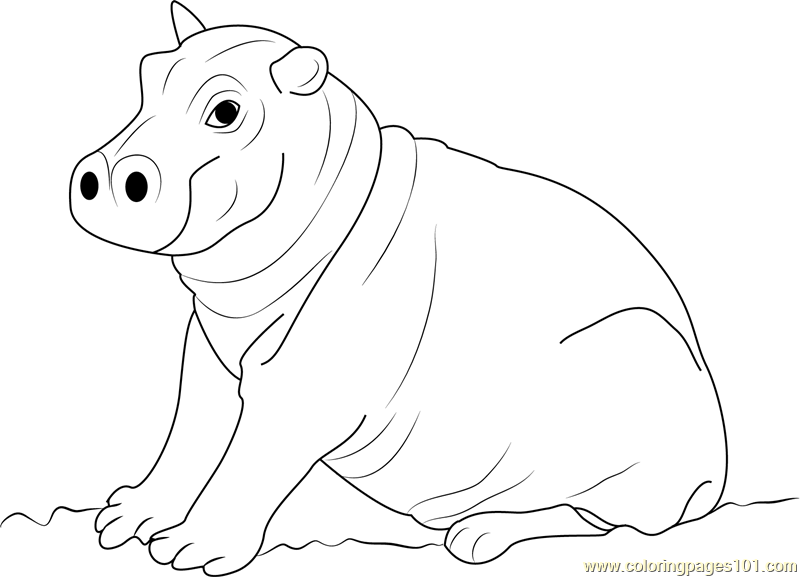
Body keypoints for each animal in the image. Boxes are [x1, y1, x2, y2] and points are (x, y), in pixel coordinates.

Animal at [70, 3, 727, 574]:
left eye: (227, 110)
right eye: (147, 73)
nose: (104, 175)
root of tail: (715, 473)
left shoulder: (308, 386)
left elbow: (252, 461)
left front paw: (193, 550)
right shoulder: (207, 352)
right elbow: (186, 431)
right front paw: (127, 517)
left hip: (627, 377)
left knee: (598, 519)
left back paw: (477, 536)